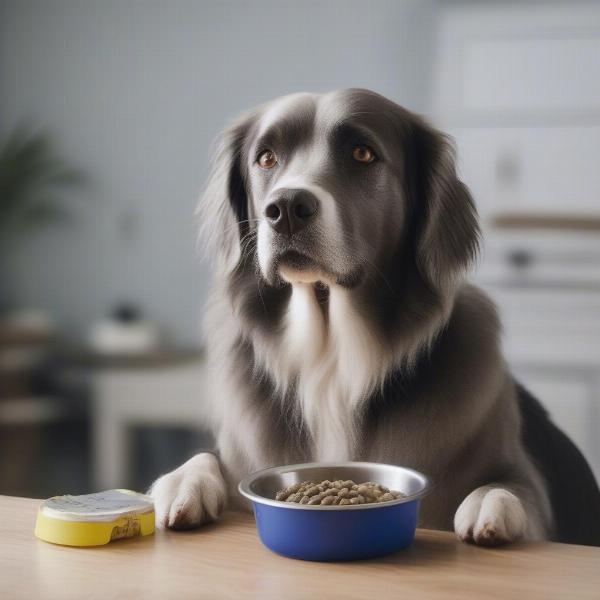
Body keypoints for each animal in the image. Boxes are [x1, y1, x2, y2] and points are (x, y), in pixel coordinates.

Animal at [150, 90, 600, 548]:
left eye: (362, 153)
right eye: (266, 158)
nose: (287, 207)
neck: (331, 353)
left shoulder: (525, 482)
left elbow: (511, 486)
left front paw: (490, 500)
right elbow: (205, 455)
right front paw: (183, 483)